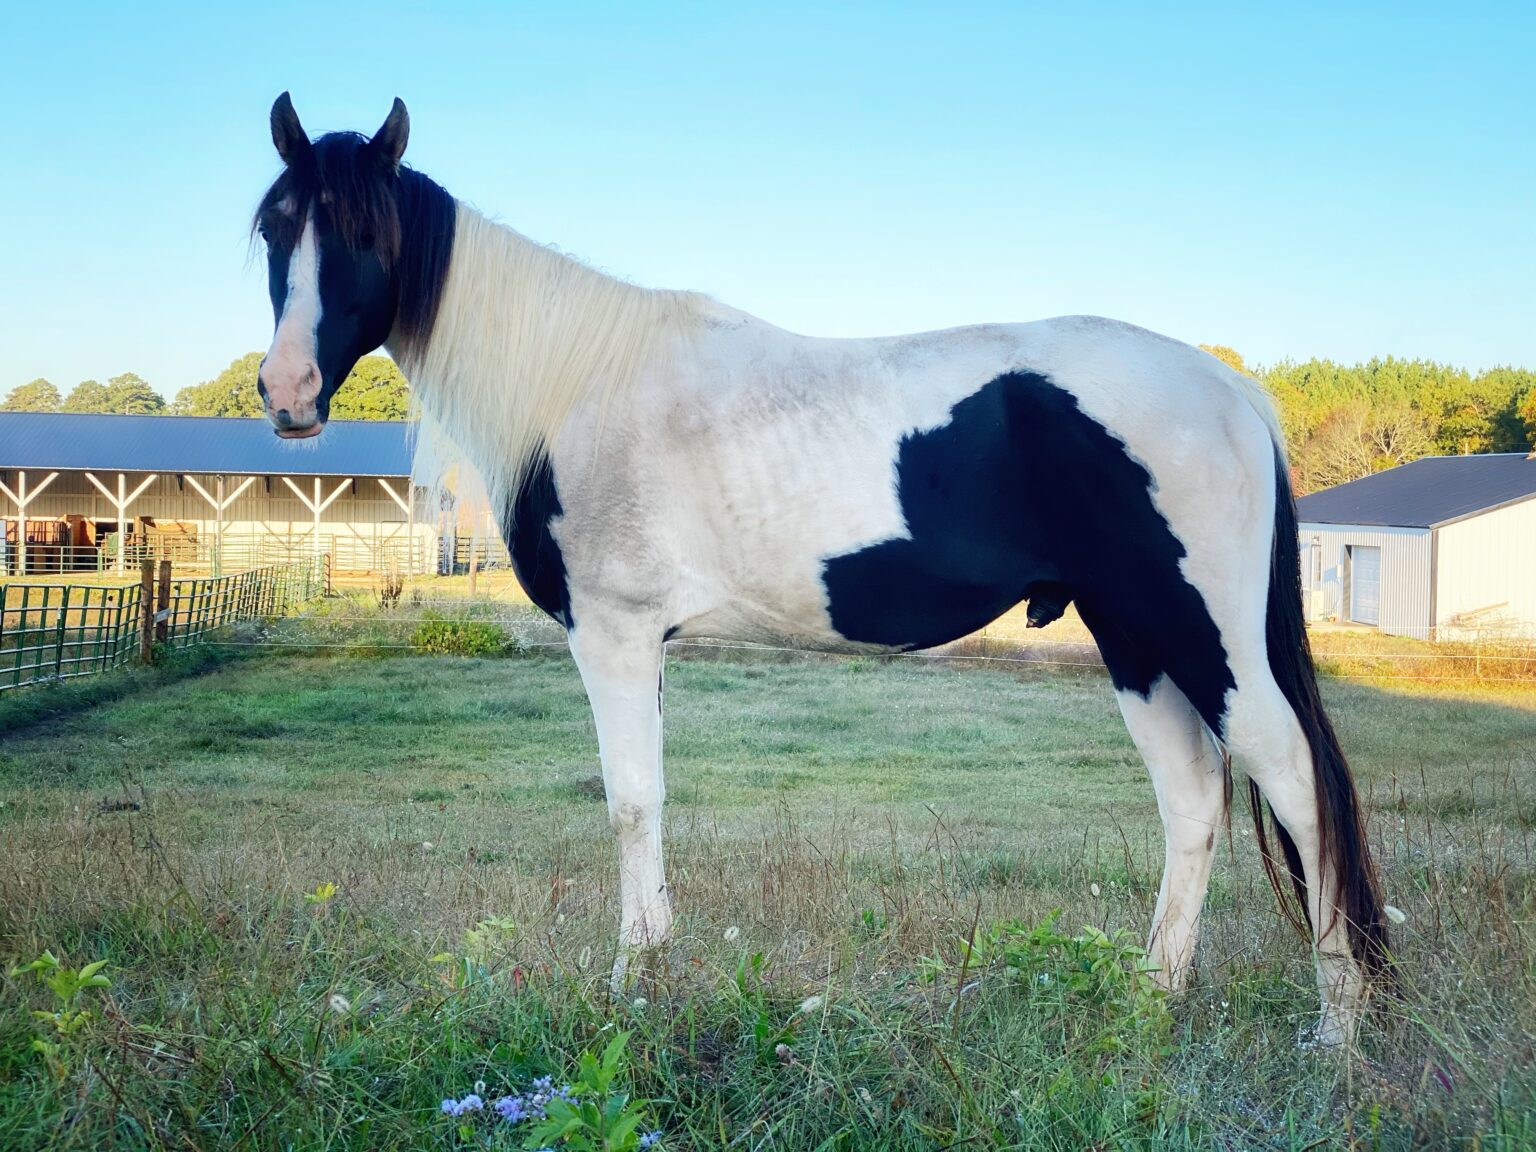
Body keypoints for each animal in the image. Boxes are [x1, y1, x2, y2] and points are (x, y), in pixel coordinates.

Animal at [251, 94, 1388, 1045]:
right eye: (274, 227)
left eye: (365, 232)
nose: (289, 392)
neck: (576, 384)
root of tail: (1235, 395)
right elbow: (648, 799)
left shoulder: (614, 633)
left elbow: (631, 803)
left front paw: (633, 986)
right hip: (1133, 637)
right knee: (1194, 798)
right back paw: (1152, 1004)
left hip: (1201, 634)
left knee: (1295, 781)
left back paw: (1336, 1029)